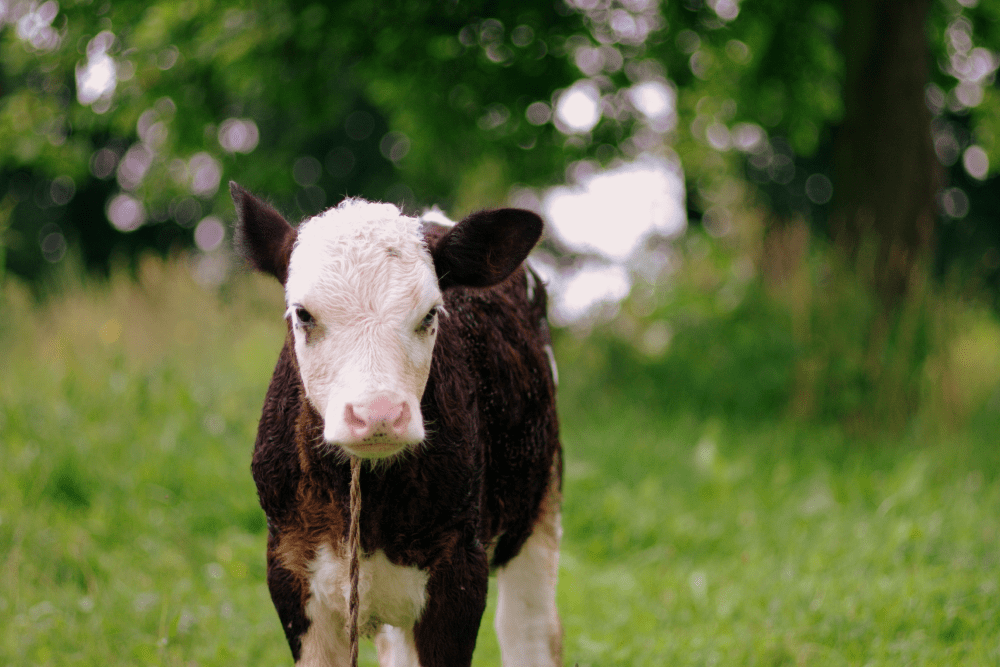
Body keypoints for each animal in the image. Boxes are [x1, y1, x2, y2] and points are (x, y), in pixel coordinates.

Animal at [230, 183, 568, 667]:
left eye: (430, 314)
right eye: (303, 314)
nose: (379, 414)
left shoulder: (459, 572)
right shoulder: (290, 568)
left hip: (537, 501)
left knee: (528, 629)